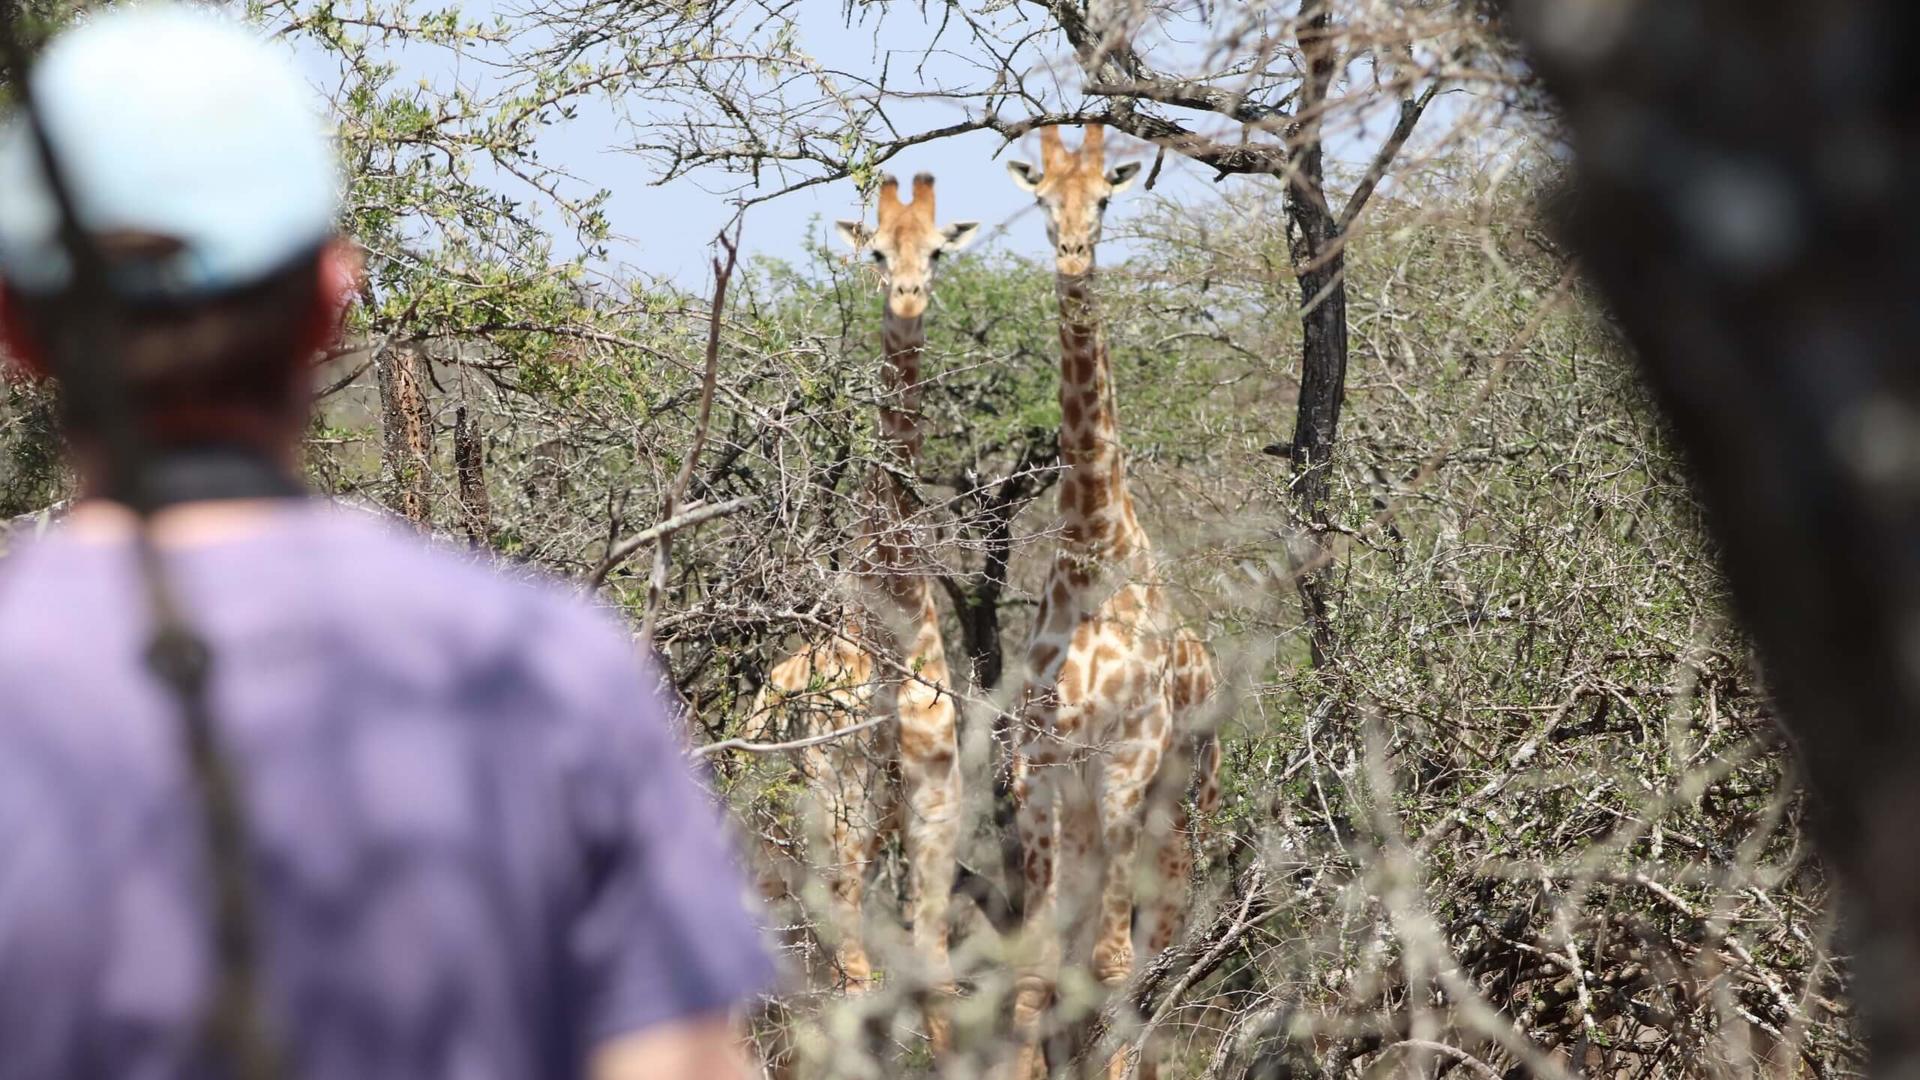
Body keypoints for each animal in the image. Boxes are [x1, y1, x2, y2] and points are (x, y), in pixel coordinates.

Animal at [750, 173, 979, 1059]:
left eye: (938, 250)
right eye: (877, 250)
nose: (908, 299)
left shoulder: (935, 805)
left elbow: (937, 984)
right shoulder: (838, 803)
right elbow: (856, 981)